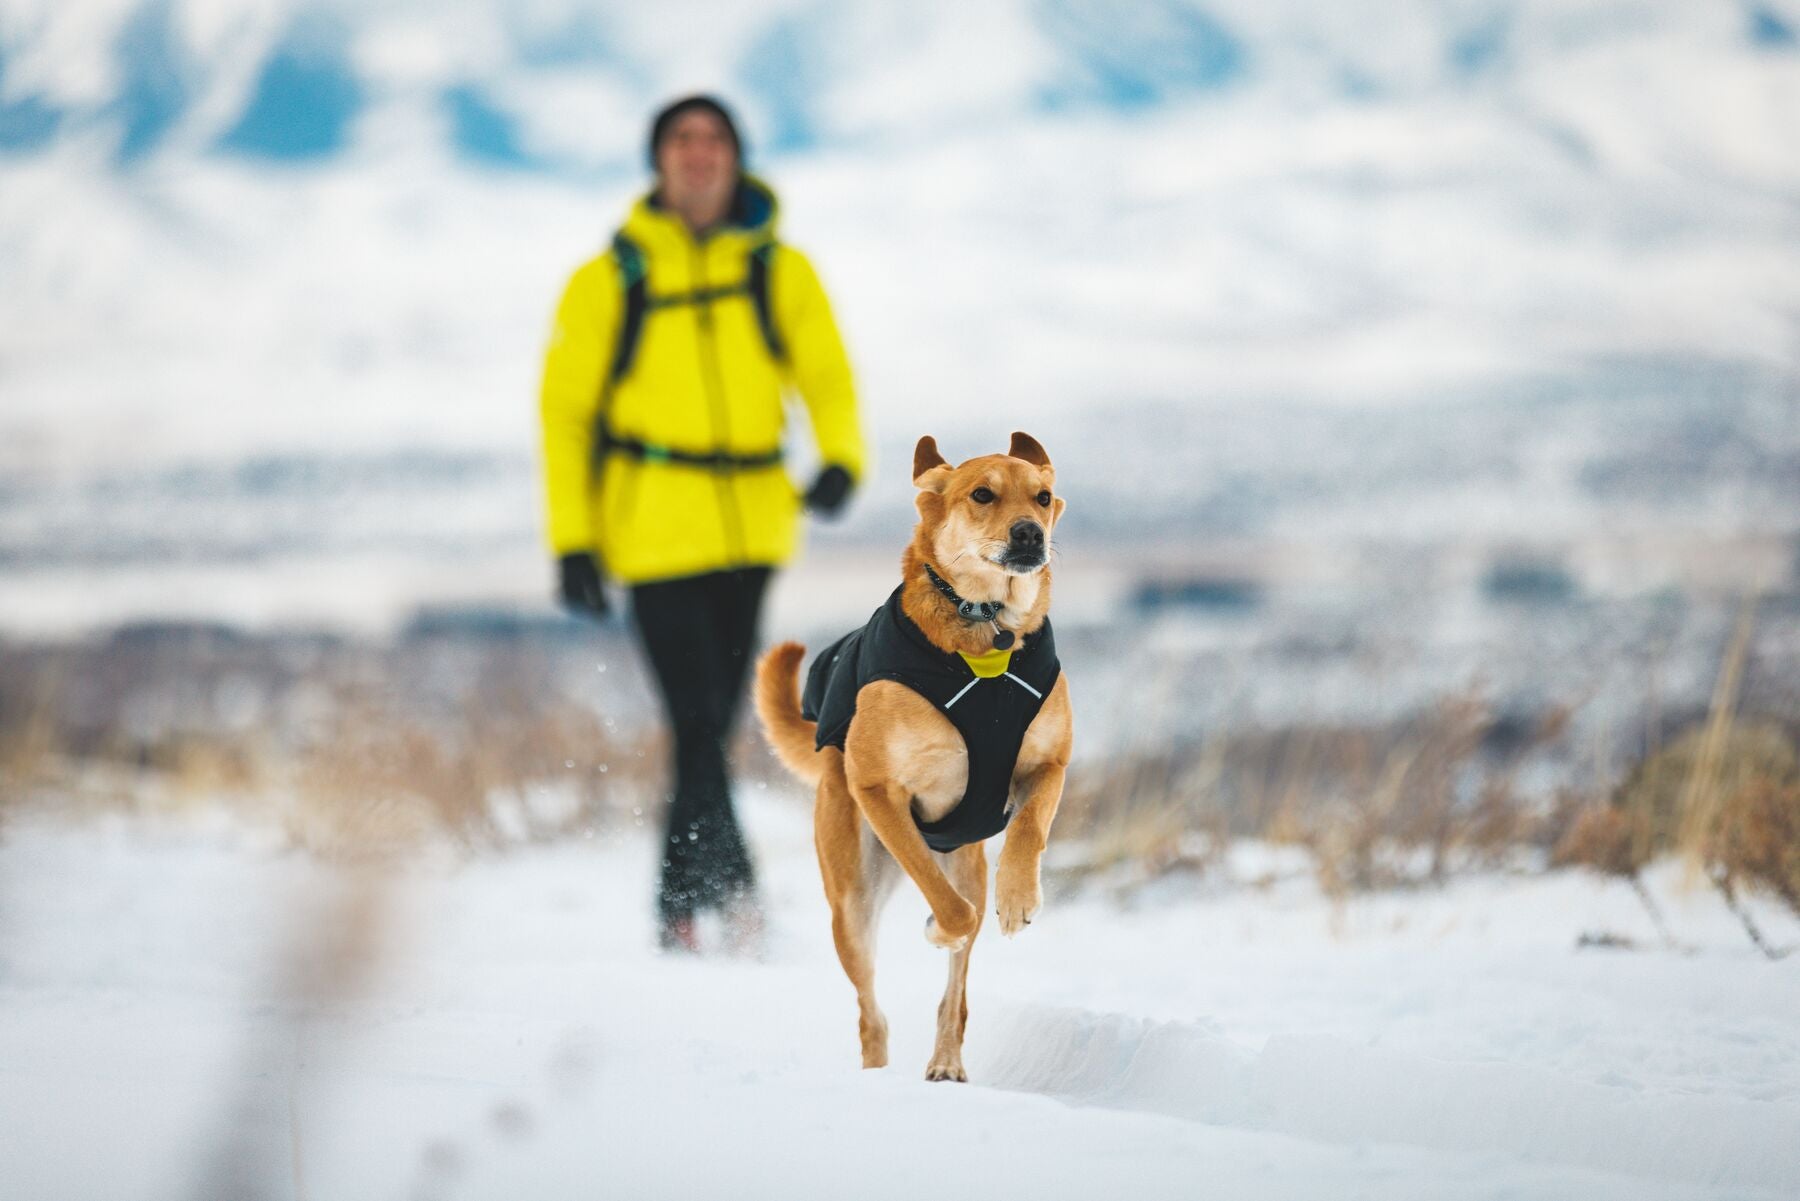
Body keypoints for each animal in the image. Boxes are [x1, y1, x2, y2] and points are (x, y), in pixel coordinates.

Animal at [756, 430, 1072, 1080]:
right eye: (982, 495)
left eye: (1042, 496)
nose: (1031, 533)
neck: (986, 637)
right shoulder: (879, 791)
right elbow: (946, 906)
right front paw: (939, 928)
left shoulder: (1048, 762)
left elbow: (1029, 829)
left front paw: (1019, 899)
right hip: (852, 899)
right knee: (870, 1011)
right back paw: (879, 1069)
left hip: (966, 863)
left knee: (954, 998)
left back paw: (946, 1062)